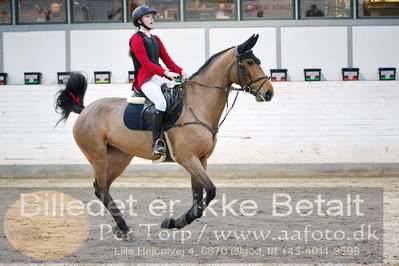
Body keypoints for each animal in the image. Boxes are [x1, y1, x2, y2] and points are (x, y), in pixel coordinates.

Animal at [55, 34, 276, 240]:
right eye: (250, 62)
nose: (269, 93)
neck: (197, 106)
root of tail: (85, 110)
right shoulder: (187, 158)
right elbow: (211, 190)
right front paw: (174, 222)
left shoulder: (201, 159)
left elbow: (198, 197)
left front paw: (176, 222)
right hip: (98, 156)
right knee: (101, 189)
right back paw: (125, 228)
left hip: (119, 158)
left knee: (103, 188)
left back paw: (121, 228)